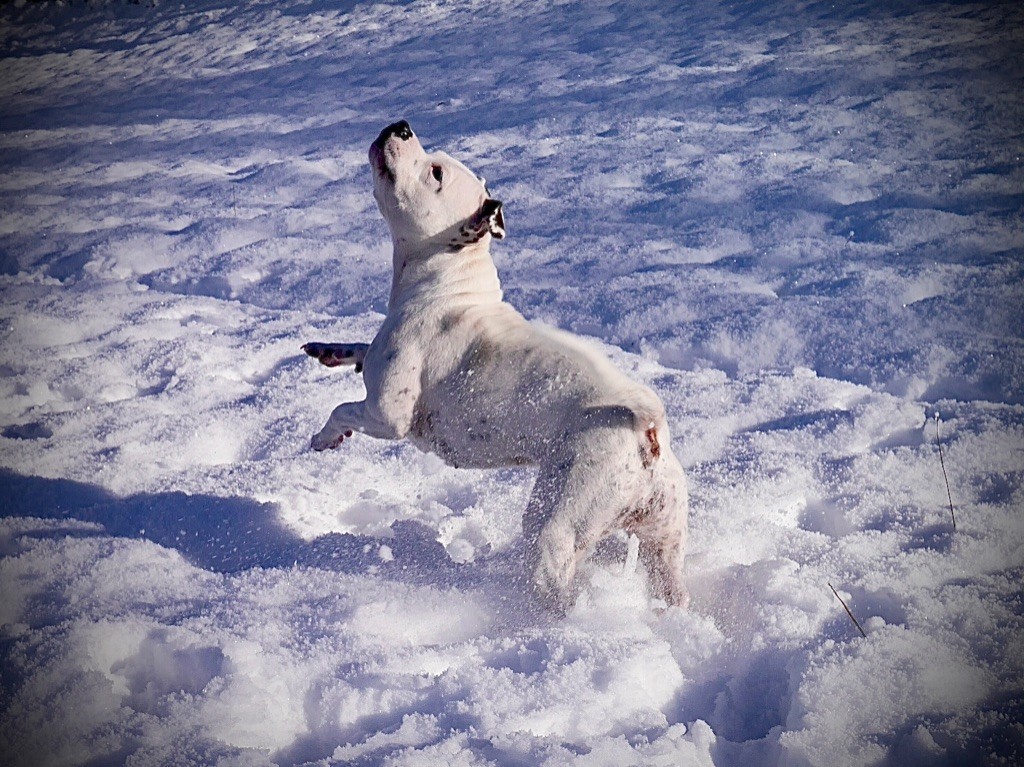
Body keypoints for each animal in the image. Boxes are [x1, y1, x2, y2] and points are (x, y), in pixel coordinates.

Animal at [303, 119, 688, 610]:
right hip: (665, 538)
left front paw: (324, 438)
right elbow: (360, 349)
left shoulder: (388, 415)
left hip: (558, 519)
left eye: (436, 173)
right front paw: (329, 350)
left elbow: (342, 409)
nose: (401, 126)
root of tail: (648, 430)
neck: (447, 280)